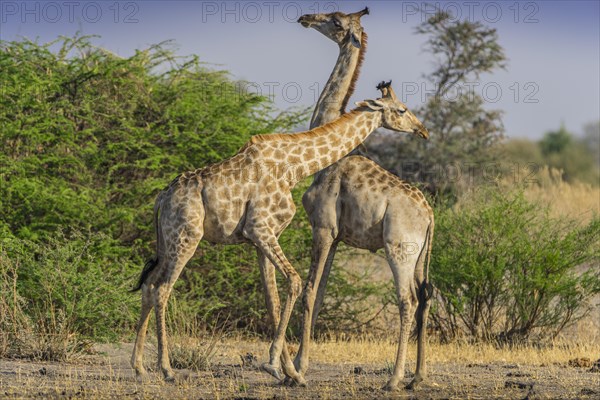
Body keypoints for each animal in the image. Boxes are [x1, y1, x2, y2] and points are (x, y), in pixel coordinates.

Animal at [129, 86, 428, 386]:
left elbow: (271, 299)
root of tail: (162, 197)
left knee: (150, 285)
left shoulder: (262, 236)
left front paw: (290, 373)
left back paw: (139, 367)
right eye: (401, 109)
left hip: (168, 241)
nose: (422, 130)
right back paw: (166, 369)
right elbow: (295, 282)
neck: (293, 167)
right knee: (163, 290)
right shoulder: (259, 228)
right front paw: (276, 365)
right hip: (186, 237)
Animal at [292, 9, 434, 390]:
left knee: (407, 299)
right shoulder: (337, 237)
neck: (327, 159)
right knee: (426, 296)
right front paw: (298, 363)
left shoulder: (323, 228)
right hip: (421, 256)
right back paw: (417, 377)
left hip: (399, 249)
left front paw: (297, 369)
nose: (306, 17)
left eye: (337, 23)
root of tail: (430, 216)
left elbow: (309, 291)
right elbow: (320, 294)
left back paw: (394, 379)